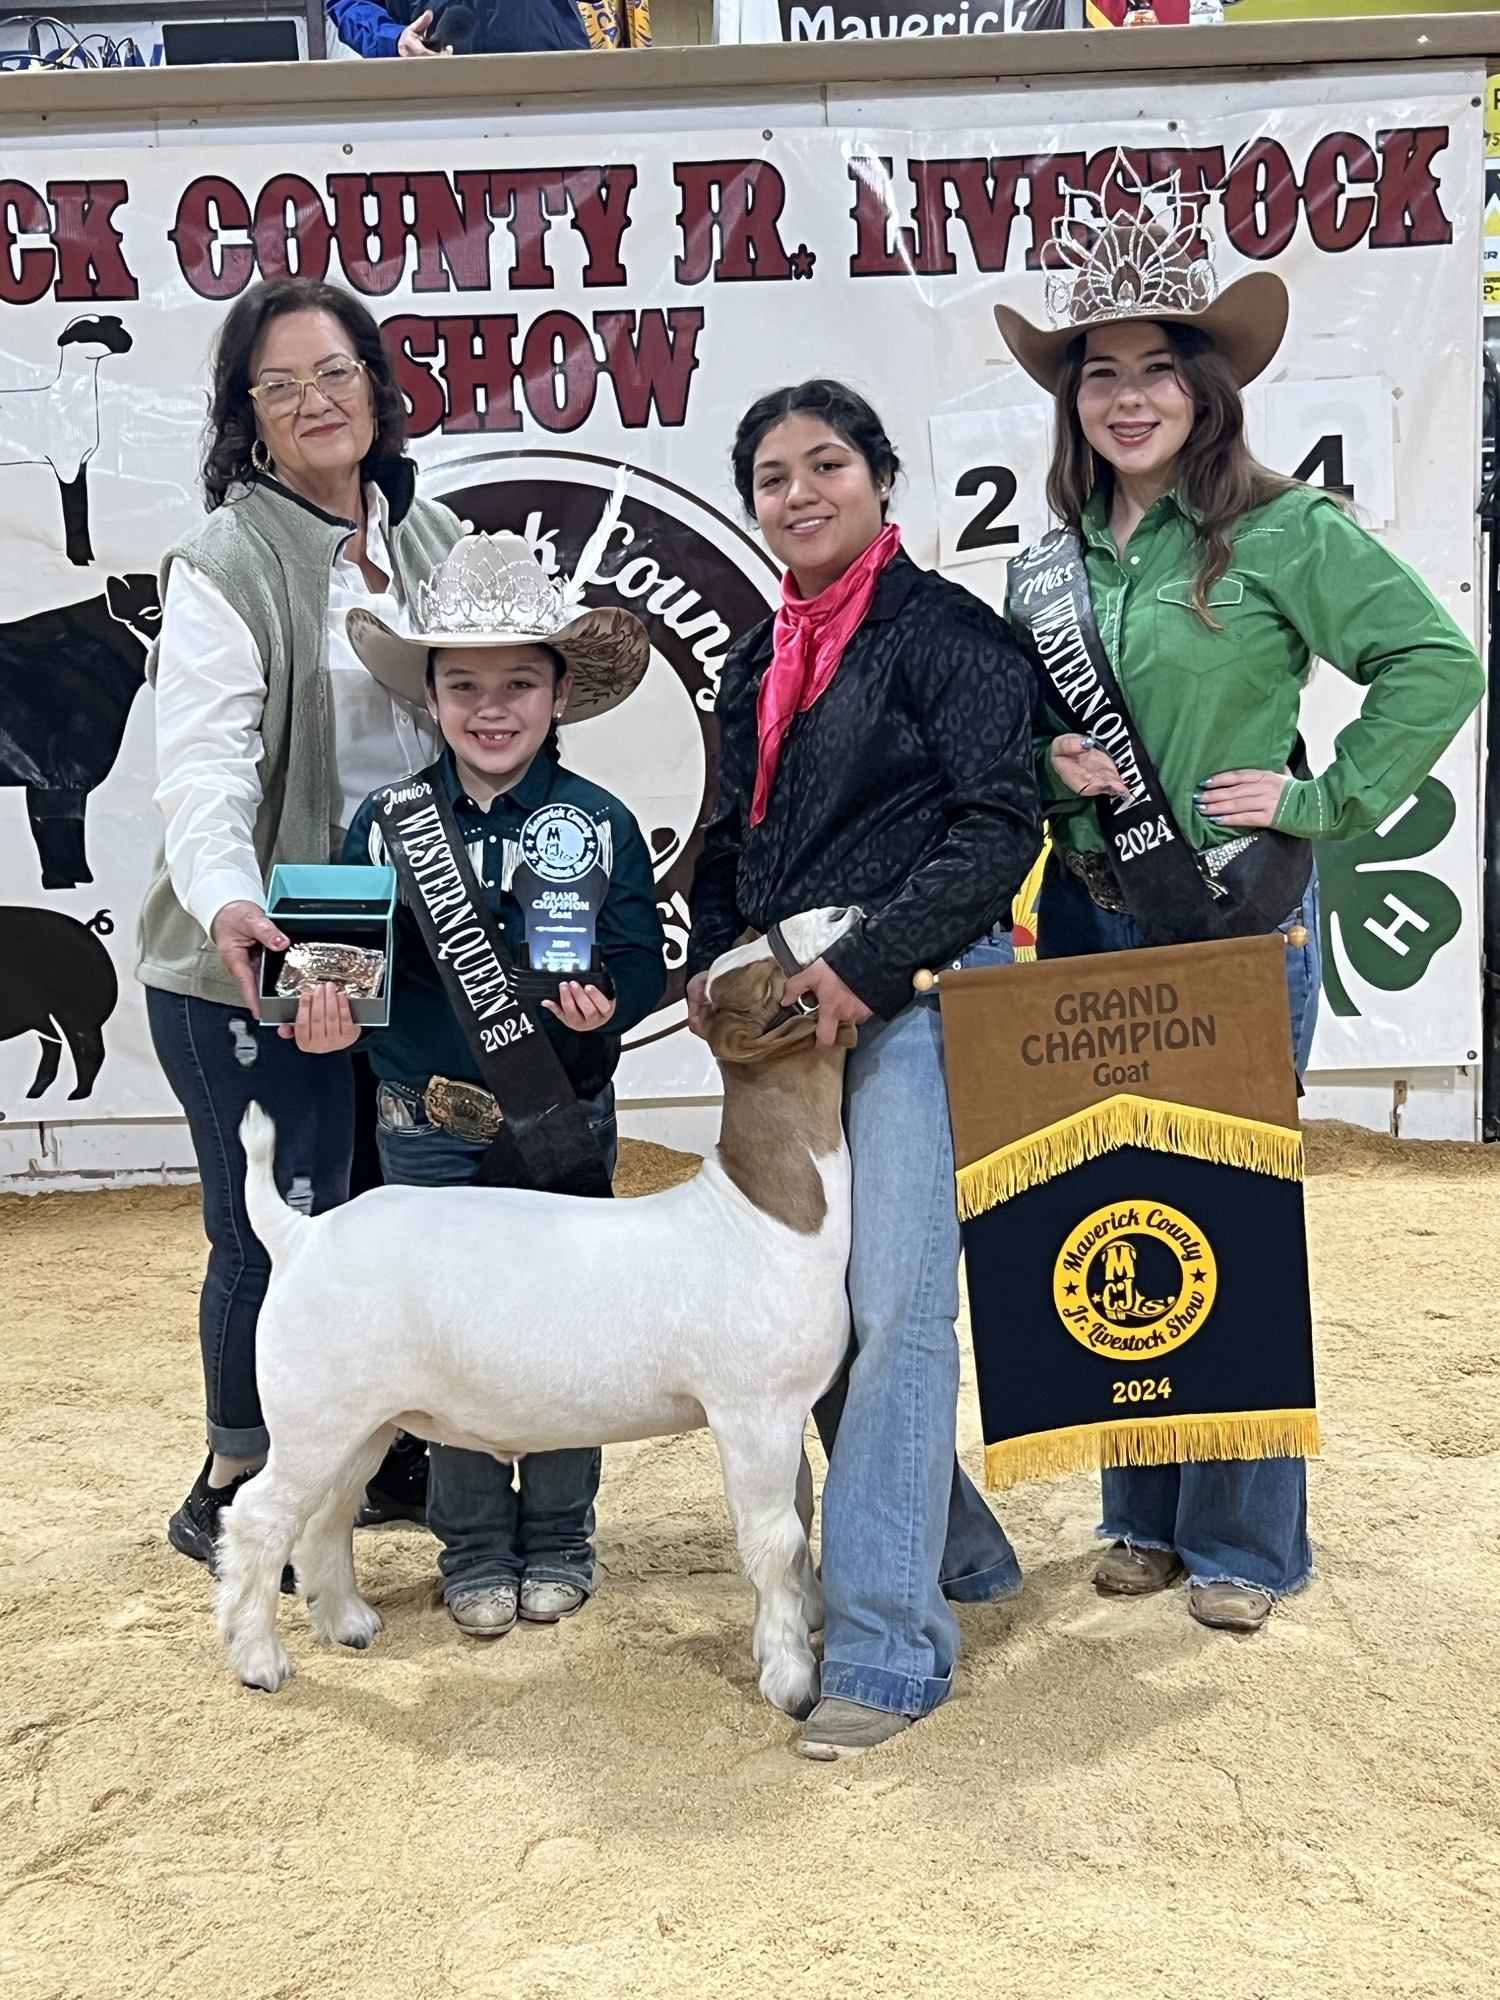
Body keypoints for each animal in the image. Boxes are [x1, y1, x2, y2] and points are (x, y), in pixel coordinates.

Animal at [217, 912, 864, 1720]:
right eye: (770, 982)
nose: (841, 914)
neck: (763, 1214)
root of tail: (300, 1235)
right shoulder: (752, 1410)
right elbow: (777, 1541)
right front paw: (791, 1676)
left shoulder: (784, 1412)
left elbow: (800, 1518)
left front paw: (811, 1619)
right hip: (313, 1411)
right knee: (259, 1516)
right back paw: (257, 1659)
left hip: (363, 1419)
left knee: (327, 1514)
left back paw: (346, 1622)